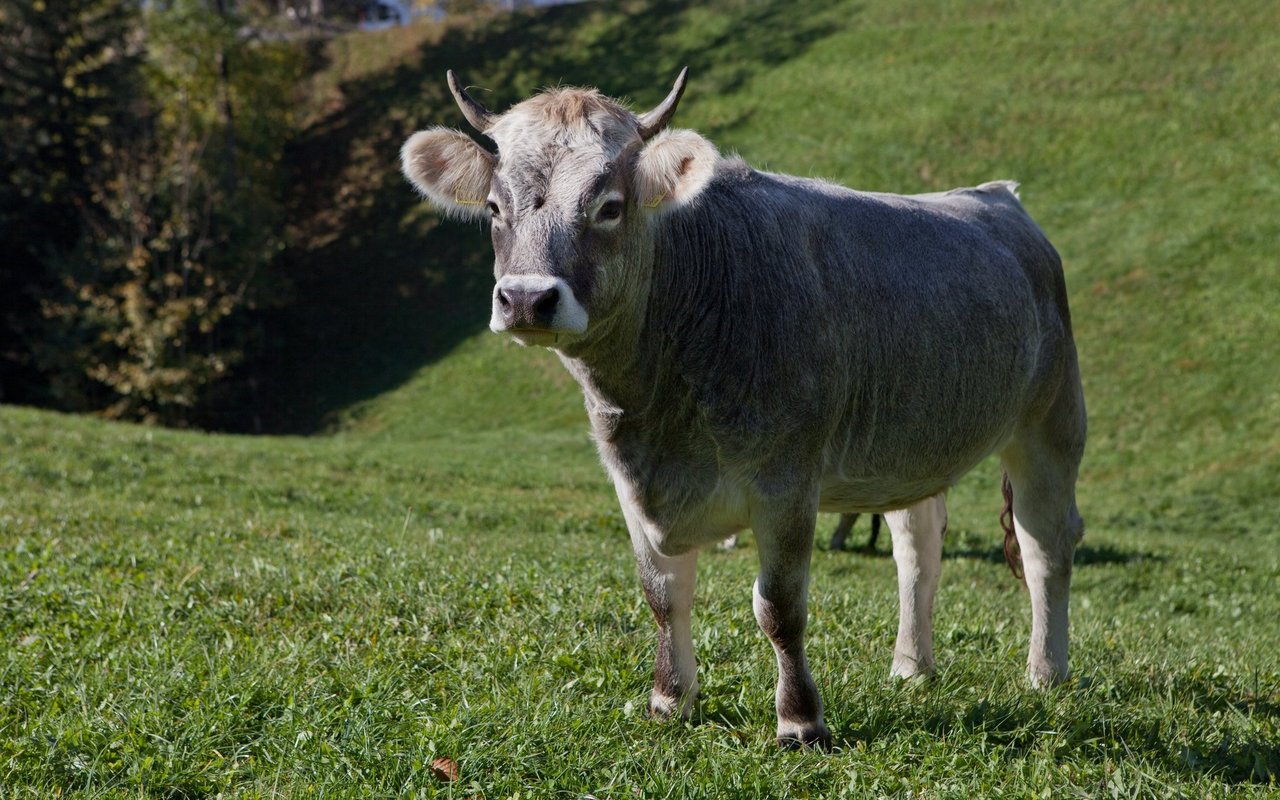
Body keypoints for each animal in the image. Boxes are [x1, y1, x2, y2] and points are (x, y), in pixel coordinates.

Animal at [396, 68, 1080, 747]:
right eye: (494, 207)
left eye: (609, 207)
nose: (526, 299)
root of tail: (998, 196)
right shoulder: (631, 482)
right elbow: (663, 595)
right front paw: (670, 700)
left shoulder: (786, 480)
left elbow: (778, 606)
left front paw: (800, 720)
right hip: (909, 447)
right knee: (918, 545)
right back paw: (912, 667)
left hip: (1051, 417)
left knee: (1044, 541)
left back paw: (1046, 674)